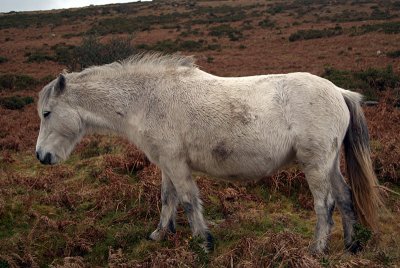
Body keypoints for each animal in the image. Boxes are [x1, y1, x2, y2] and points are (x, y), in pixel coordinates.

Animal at [36, 52, 382, 253]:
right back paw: (351, 244)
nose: (42, 157)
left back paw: (317, 250)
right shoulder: (167, 163)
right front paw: (160, 234)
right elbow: (168, 199)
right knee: (345, 197)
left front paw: (203, 242)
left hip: (315, 165)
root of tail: (339, 91)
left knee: (325, 204)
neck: (147, 99)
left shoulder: (176, 164)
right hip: (329, 164)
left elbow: (188, 200)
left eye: (46, 113)